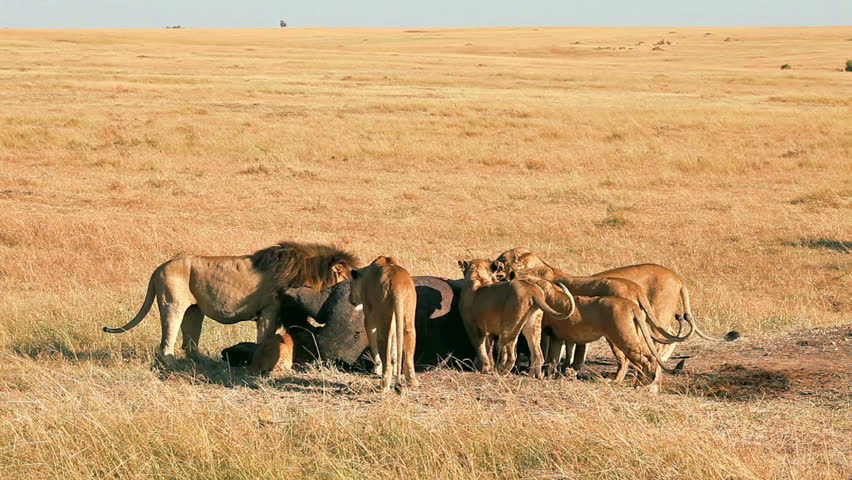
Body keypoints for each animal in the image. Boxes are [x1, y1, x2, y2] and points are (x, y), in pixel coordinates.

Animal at [102, 242, 356, 366]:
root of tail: (159, 268)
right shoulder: (270, 311)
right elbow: (264, 338)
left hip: (195, 310)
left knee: (190, 343)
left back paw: (204, 361)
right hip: (172, 303)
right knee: (167, 341)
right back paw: (171, 363)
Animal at [350, 256, 420, 392]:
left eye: (350, 286)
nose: (350, 299)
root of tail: (397, 283)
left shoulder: (369, 317)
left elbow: (373, 346)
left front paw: (376, 369)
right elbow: (395, 348)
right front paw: (396, 370)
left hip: (383, 318)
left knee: (385, 356)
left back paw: (383, 386)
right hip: (408, 317)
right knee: (408, 352)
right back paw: (412, 381)